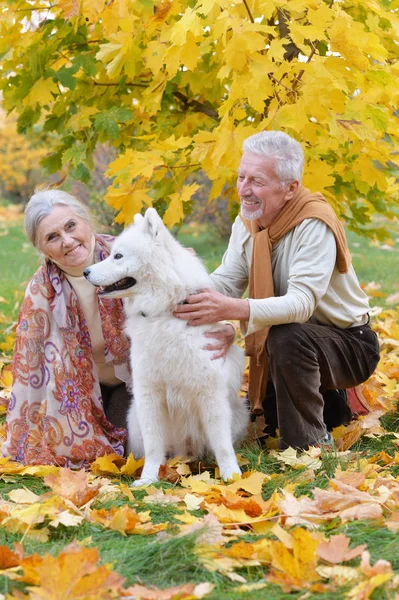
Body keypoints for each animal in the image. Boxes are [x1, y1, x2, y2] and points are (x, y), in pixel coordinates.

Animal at [84, 209, 248, 486]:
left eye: (118, 256)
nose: (85, 271)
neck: (164, 312)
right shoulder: (149, 396)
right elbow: (153, 448)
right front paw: (148, 479)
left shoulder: (211, 395)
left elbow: (223, 445)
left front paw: (232, 477)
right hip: (135, 418)